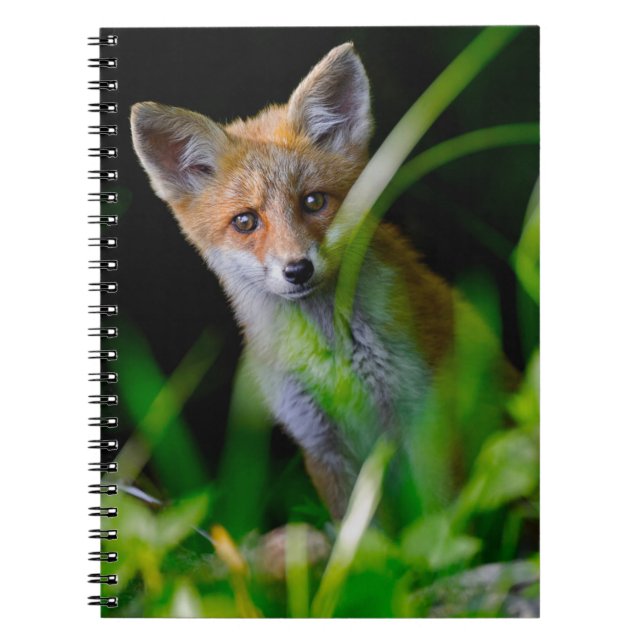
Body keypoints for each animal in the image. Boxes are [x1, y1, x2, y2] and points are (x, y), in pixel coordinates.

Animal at [131, 43, 509, 522]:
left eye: (313, 201)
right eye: (245, 222)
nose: (297, 270)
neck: (332, 357)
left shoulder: (424, 417)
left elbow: (436, 520)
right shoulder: (318, 442)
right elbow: (364, 533)